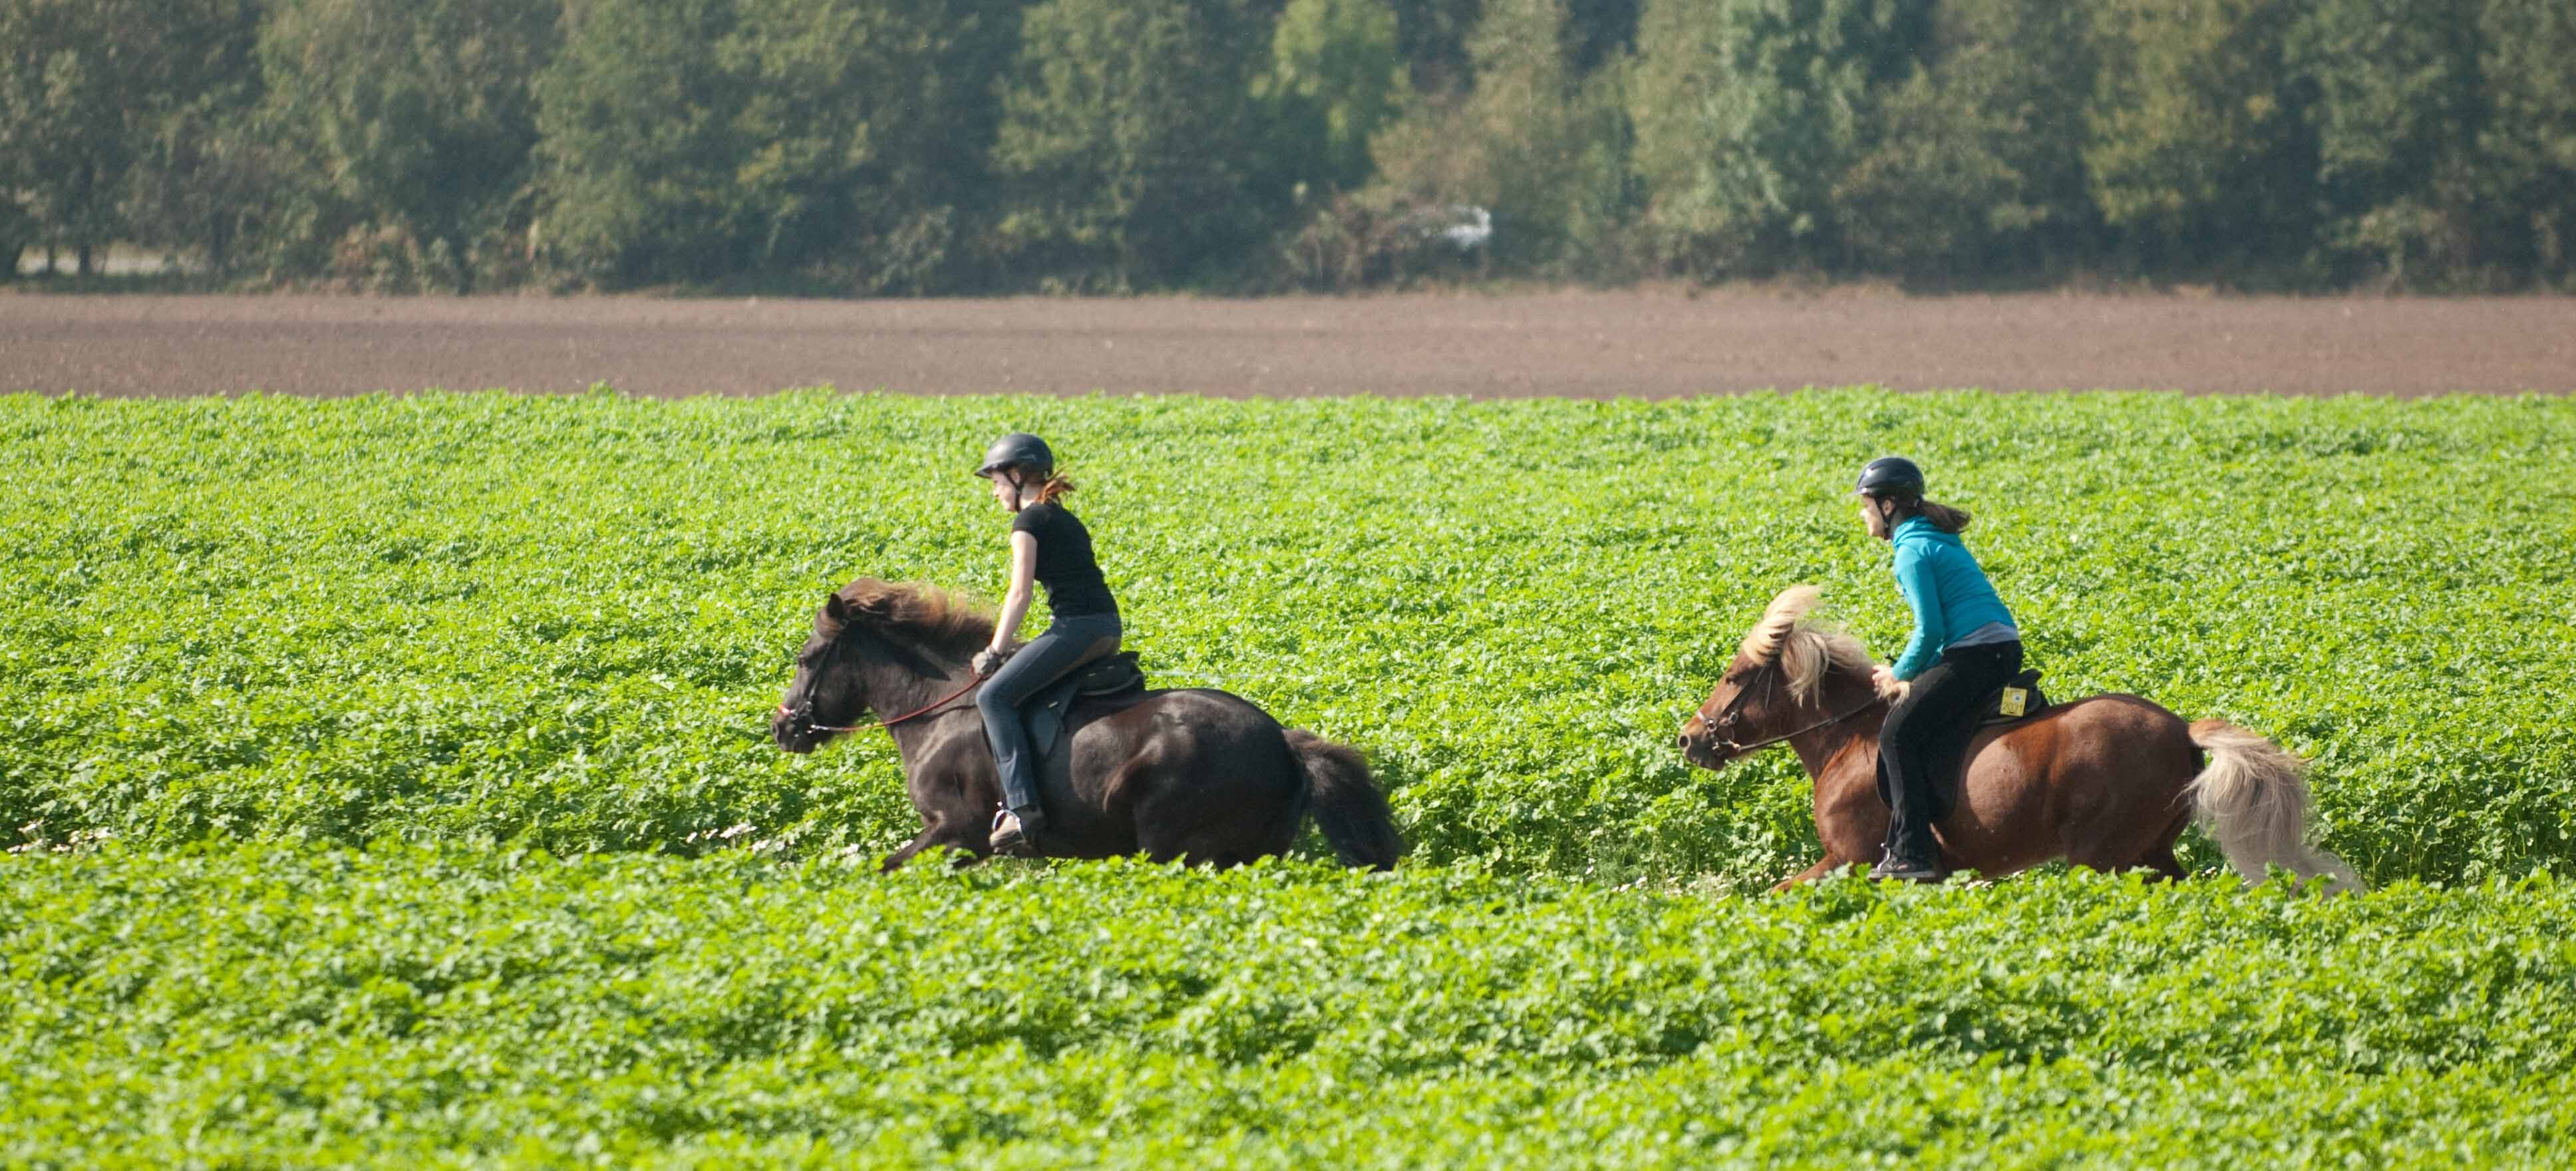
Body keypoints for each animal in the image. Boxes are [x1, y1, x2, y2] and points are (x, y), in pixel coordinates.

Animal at [772, 576, 1411, 870]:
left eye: (806, 659)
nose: (783, 728)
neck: (937, 708)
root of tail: (1281, 739)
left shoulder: (957, 830)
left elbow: (887, 866)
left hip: (1177, 848)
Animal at [1669, 586, 2359, 890]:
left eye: (1733, 676)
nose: (1688, 739)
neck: (1849, 739)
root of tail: (2183, 731)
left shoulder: (1849, 857)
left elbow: (1779, 891)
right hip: (2149, 853)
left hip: (2104, 855)